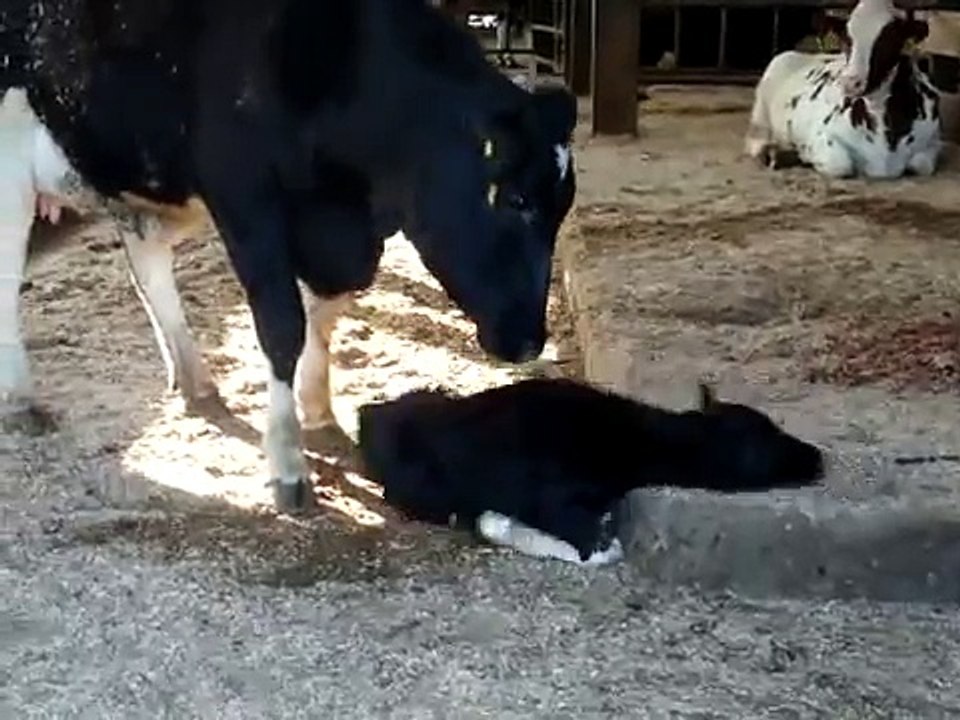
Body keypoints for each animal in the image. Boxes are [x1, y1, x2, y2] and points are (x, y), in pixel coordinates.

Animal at [0, 0, 578, 513]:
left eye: (562, 207)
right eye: (515, 200)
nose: (530, 341)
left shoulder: (346, 233)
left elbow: (329, 310)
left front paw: (317, 408)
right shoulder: (245, 198)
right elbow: (282, 327)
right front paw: (287, 460)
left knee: (148, 265)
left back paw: (194, 378)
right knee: (9, 278)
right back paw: (20, 399)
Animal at [745, 0, 941, 179]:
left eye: (890, 39)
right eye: (847, 39)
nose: (850, 82)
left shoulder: (933, 140)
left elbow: (922, 164)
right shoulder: (821, 133)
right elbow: (839, 164)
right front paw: (802, 154)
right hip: (762, 104)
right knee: (756, 139)